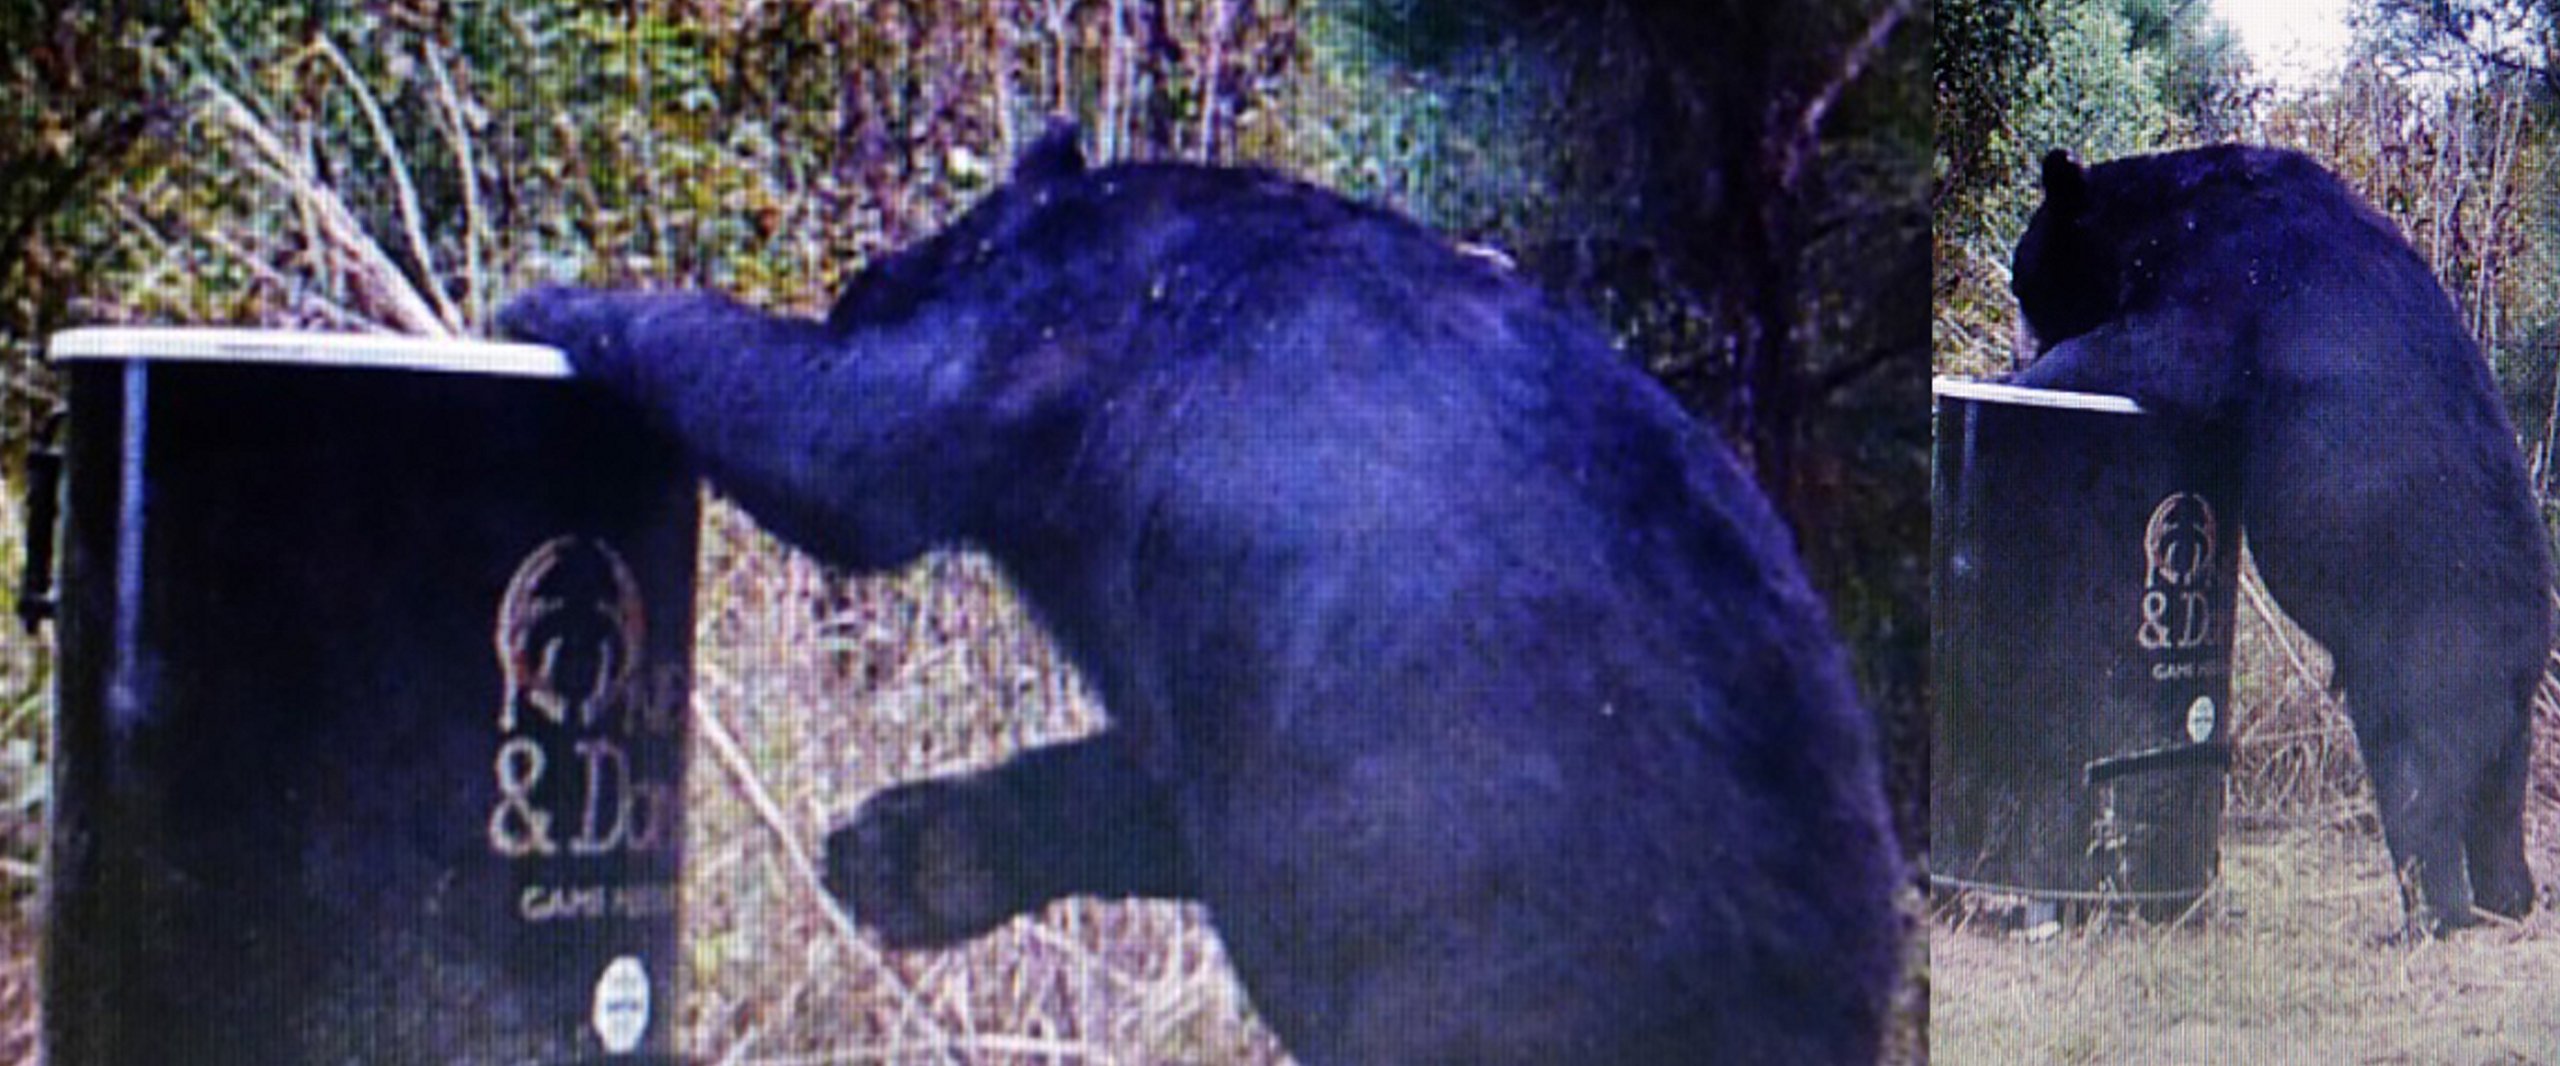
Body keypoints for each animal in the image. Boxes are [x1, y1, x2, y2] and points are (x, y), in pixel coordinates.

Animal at [501, 121, 1902, 1063]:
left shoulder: (1026, 352)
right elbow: (1138, 793)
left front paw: (556, 297)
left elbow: (839, 442)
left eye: (908, 260)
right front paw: (897, 851)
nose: (862, 273)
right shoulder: (1231, 735)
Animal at [2009, 144, 2552, 936]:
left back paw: (2429, 915)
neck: (2164, 217)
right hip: (2505, 702)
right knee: (2495, 797)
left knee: (2420, 777)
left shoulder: (2233, 282)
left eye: (2024, 278)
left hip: (2430, 641)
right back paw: (2508, 898)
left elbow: (2159, 349)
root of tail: (2530, 640)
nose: (2021, 340)